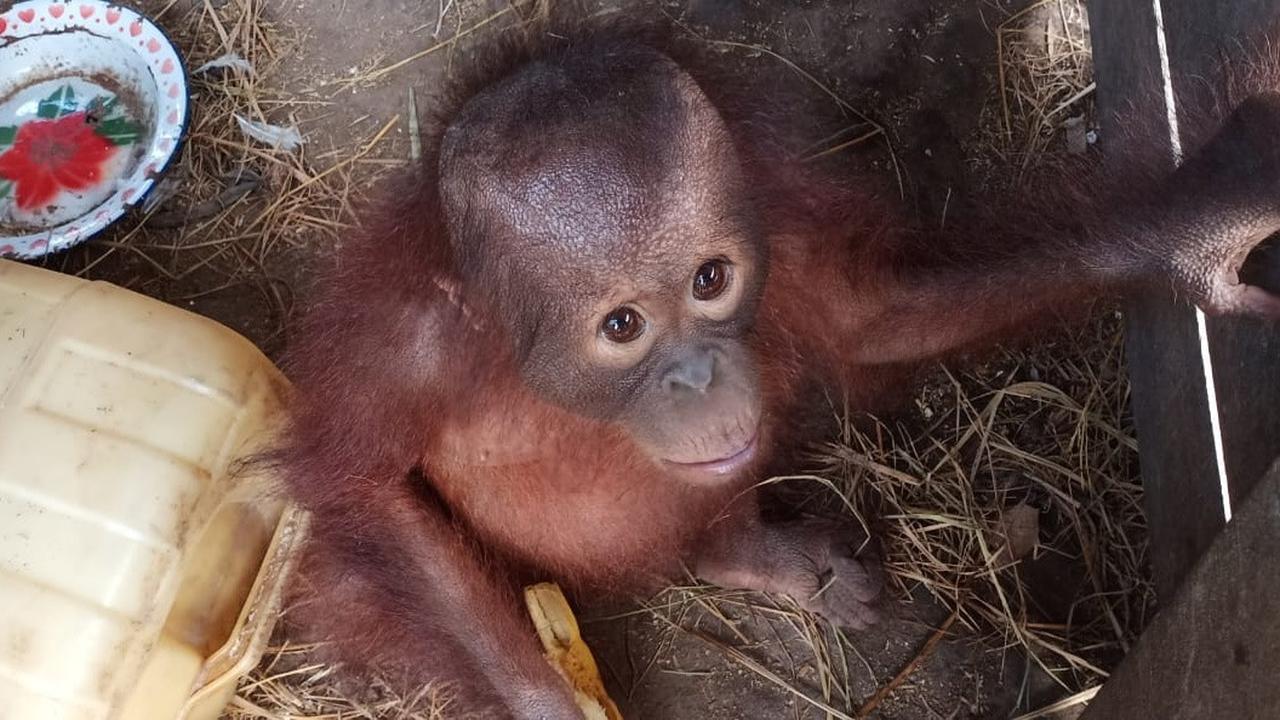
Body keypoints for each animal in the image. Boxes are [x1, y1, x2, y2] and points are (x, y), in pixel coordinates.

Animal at [270, 20, 1280, 720]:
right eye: (623, 326)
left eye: (711, 280)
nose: (697, 378)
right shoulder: (404, 350)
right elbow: (369, 492)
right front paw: (547, 705)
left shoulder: (776, 230)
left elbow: (869, 317)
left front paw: (1194, 228)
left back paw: (757, 557)